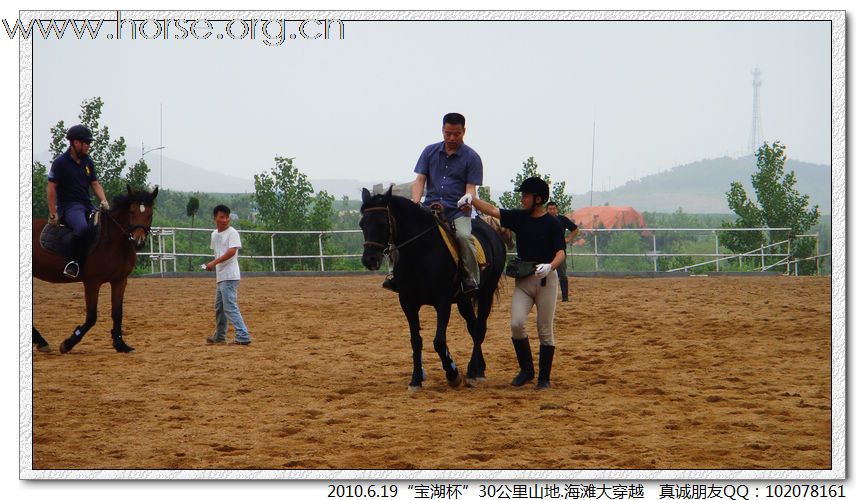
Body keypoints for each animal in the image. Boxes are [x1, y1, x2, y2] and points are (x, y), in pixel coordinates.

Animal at [32, 186, 160, 354]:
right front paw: (68, 343)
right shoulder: (92, 282)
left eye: (150, 214)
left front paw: (120, 344)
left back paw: (40, 341)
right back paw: (41, 341)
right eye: (132, 212)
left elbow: (117, 313)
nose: (138, 241)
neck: (113, 242)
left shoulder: (120, 281)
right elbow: (92, 317)